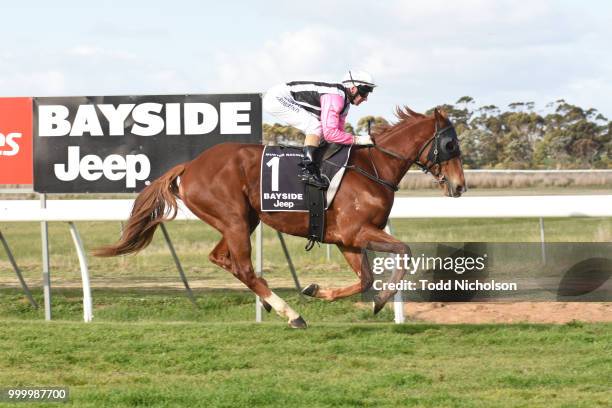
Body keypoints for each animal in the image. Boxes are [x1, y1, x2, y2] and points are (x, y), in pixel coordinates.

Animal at [98, 106, 466, 328]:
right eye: (450, 145)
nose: (460, 186)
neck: (373, 167)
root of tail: (190, 165)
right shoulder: (357, 231)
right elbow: (405, 251)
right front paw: (381, 301)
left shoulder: (346, 239)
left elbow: (365, 279)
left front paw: (318, 291)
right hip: (234, 218)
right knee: (243, 267)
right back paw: (291, 314)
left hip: (243, 220)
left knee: (221, 258)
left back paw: (275, 305)